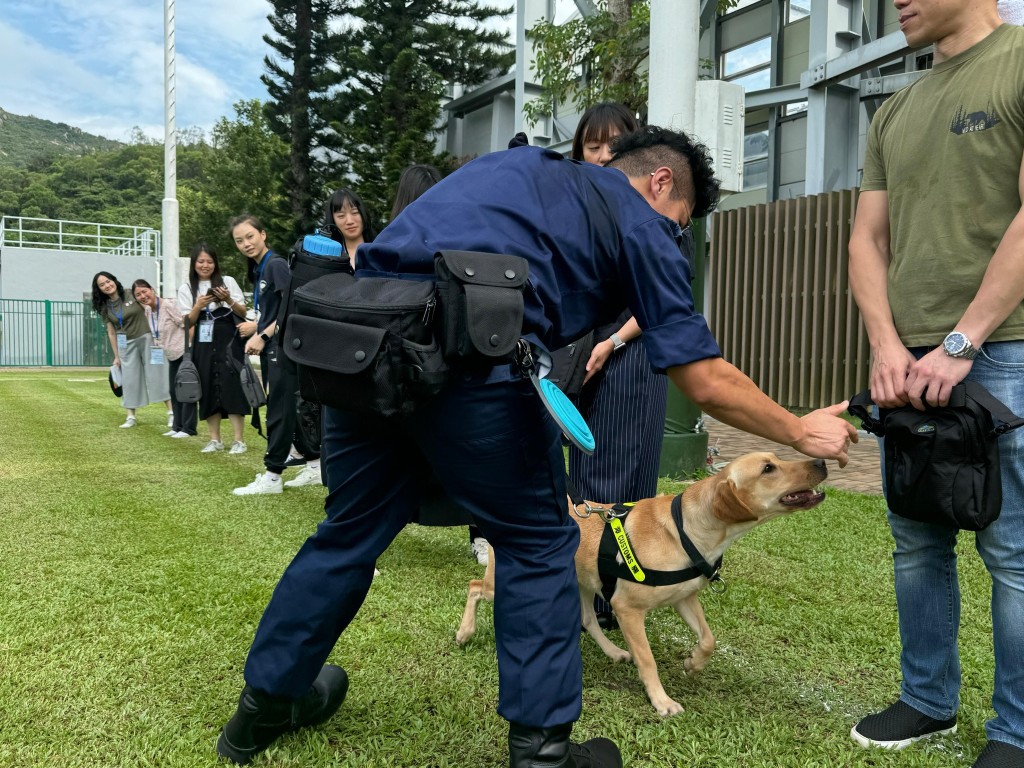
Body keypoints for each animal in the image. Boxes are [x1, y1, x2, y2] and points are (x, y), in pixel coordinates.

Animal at [460, 454, 827, 720]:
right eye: (768, 468)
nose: (822, 462)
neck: (686, 529)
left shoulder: (685, 598)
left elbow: (709, 639)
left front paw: (694, 663)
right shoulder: (628, 609)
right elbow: (648, 660)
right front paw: (662, 700)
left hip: (584, 581)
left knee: (588, 618)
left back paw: (613, 651)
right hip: (501, 581)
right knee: (475, 585)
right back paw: (465, 632)